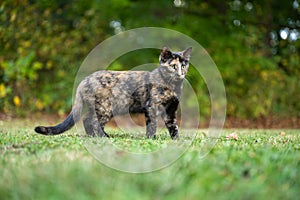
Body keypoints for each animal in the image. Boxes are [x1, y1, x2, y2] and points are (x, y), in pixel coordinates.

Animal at [34, 46, 191, 139]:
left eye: (183, 66)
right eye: (173, 66)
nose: (180, 74)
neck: (173, 86)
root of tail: (84, 80)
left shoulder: (171, 109)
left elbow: (174, 126)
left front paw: (176, 141)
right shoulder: (151, 106)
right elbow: (152, 125)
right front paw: (151, 139)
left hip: (98, 107)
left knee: (87, 119)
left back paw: (94, 136)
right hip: (105, 108)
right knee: (93, 121)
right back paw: (103, 137)